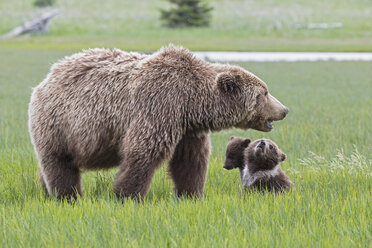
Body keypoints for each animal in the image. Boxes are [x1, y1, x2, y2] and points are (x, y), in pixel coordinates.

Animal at [29, 44, 290, 200]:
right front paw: (127, 195)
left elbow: (190, 161)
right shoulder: (158, 106)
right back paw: (67, 196)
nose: (285, 109)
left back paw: (45, 190)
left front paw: (190, 194)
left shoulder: (187, 128)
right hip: (59, 124)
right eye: (264, 93)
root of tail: (46, 78)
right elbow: (143, 152)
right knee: (59, 164)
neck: (190, 101)